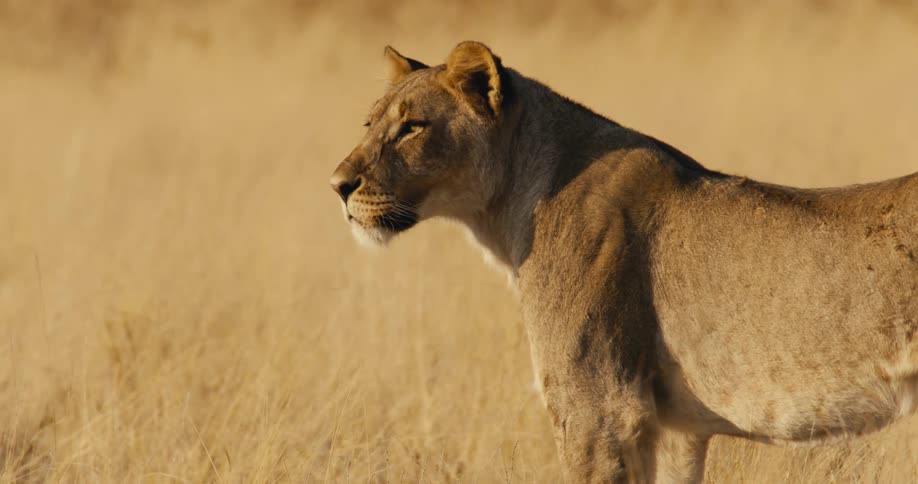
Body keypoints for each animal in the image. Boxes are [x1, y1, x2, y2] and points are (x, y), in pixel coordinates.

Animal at [329, 41, 918, 483]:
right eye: (368, 123)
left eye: (412, 127)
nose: (338, 185)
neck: (513, 208)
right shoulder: (679, 428)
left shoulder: (601, 410)